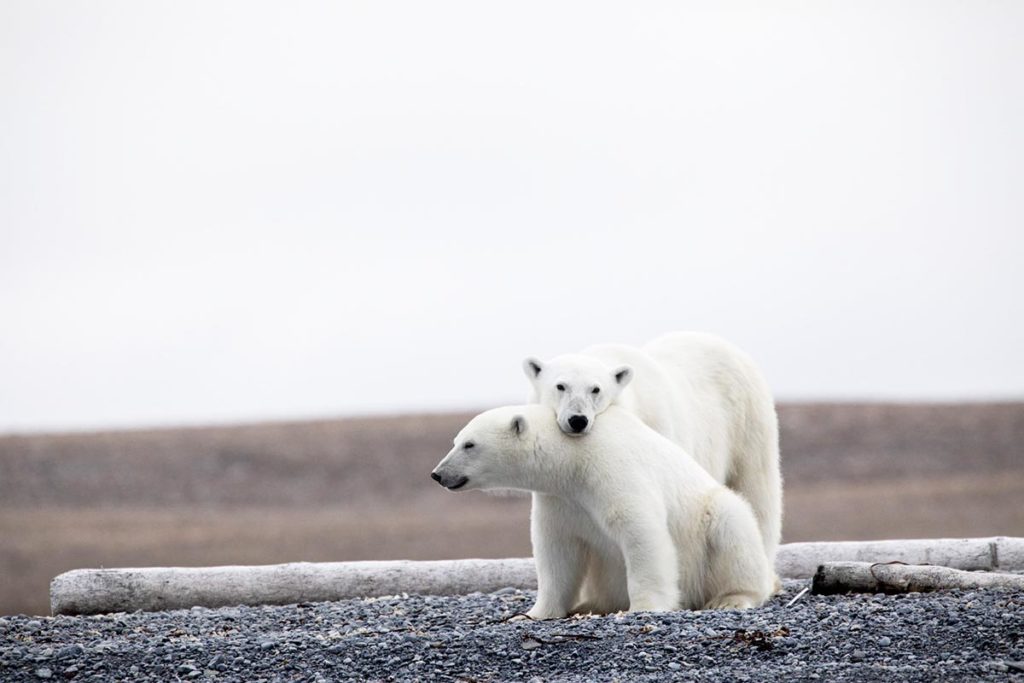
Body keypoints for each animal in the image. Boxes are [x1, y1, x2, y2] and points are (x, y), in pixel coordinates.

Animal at [428, 403, 770, 618]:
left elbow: (641, 532)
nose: (438, 474)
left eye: (470, 444)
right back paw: (589, 605)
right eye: (456, 440)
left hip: (711, 522)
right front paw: (533, 614)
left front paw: (645, 607)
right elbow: (557, 550)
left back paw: (731, 599)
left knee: (733, 528)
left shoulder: (613, 470)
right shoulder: (560, 499)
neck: (573, 458)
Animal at [524, 331, 778, 573]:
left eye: (595, 389)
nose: (578, 420)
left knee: (756, 490)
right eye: (560, 386)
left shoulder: (659, 430)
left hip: (748, 423)